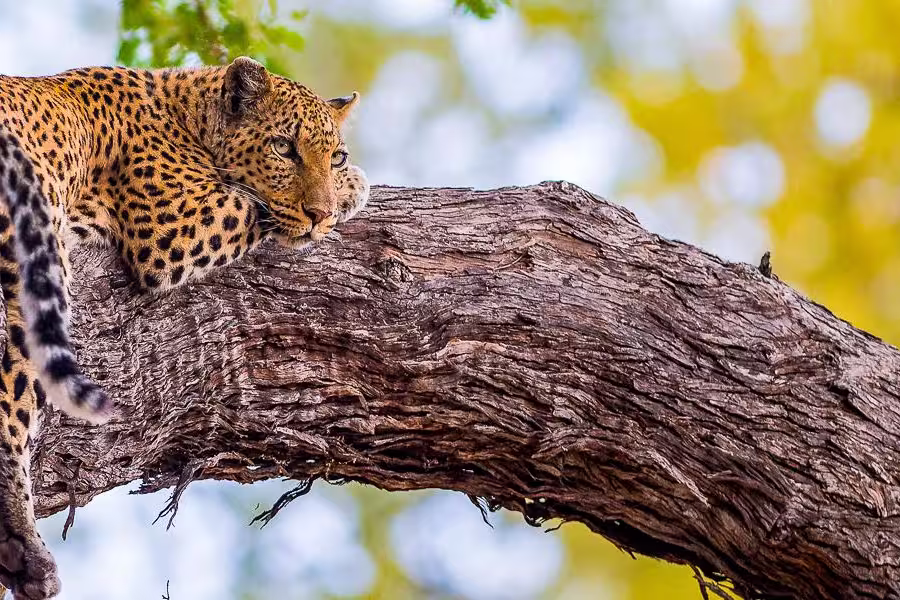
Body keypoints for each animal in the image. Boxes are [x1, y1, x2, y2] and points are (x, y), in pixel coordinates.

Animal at [0, 56, 369, 598]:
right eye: (284, 148)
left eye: (335, 156)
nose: (319, 216)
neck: (186, 111)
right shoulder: (173, 223)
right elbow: (254, 204)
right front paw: (356, 189)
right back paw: (23, 548)